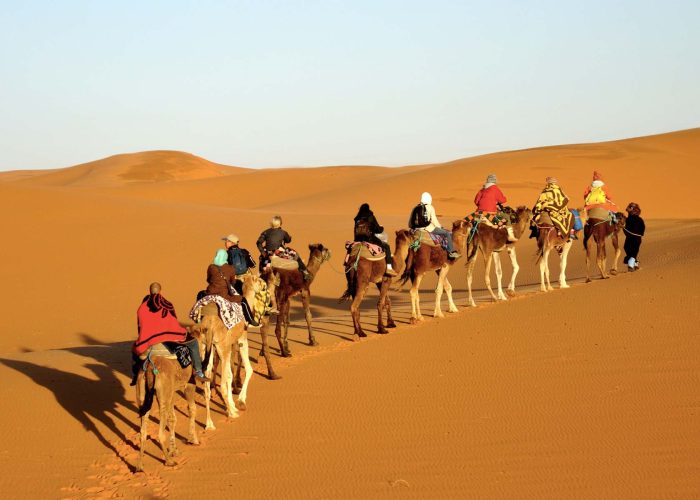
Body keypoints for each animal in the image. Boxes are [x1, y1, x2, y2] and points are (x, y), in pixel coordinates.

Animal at [135, 328, 204, 468]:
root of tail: (150, 367)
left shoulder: (171, 392)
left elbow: (172, 419)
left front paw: (174, 450)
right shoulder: (189, 384)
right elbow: (192, 409)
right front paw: (193, 440)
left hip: (143, 392)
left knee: (143, 430)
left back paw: (139, 466)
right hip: (163, 393)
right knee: (160, 432)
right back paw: (169, 461)